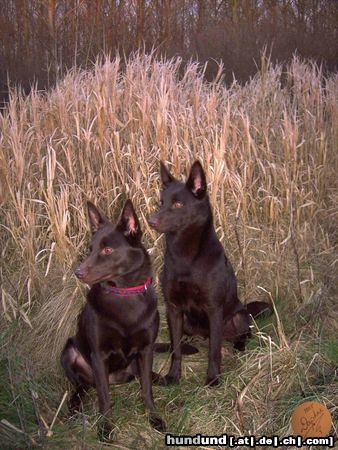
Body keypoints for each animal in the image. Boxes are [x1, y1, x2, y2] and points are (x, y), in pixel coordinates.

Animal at [62, 200, 166, 440]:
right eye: (90, 249)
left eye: (107, 250)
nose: (77, 272)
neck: (124, 293)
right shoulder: (99, 355)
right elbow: (104, 398)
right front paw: (106, 428)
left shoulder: (146, 349)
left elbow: (147, 390)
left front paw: (154, 418)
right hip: (69, 351)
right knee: (81, 386)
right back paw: (74, 405)